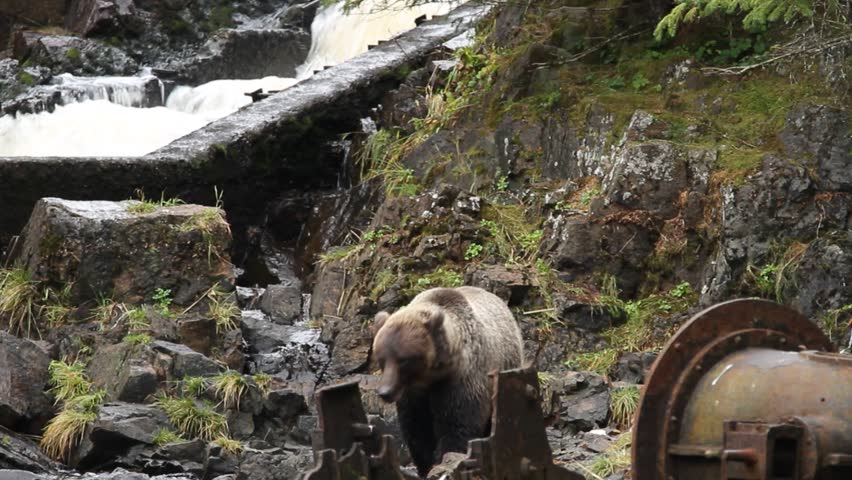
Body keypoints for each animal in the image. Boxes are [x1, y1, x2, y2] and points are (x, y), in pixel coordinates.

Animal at [370, 286, 524, 477]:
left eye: (403, 360)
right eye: (381, 358)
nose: (385, 392)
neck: (431, 376)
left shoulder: (462, 380)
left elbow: (457, 424)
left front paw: (444, 462)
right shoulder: (413, 395)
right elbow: (417, 430)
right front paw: (427, 465)